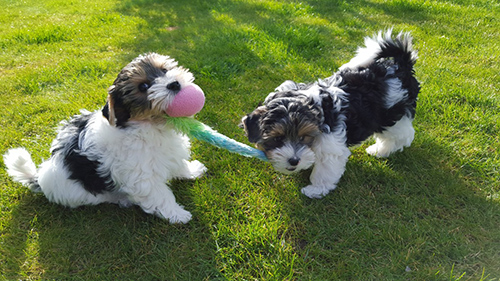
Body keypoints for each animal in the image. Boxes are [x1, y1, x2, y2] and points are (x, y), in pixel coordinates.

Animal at [2, 53, 206, 223]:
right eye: (143, 86)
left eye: (164, 70)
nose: (174, 84)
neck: (151, 124)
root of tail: (39, 176)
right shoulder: (142, 175)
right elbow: (159, 195)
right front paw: (177, 214)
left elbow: (178, 164)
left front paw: (191, 170)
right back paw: (121, 199)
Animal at [240, 29, 420, 198]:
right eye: (278, 138)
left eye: (303, 137)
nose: (294, 160)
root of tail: (401, 65)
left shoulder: (330, 145)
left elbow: (325, 169)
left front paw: (315, 190)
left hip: (391, 115)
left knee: (401, 134)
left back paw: (381, 150)